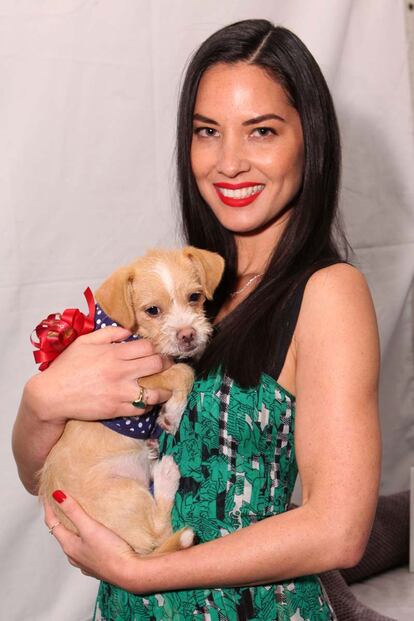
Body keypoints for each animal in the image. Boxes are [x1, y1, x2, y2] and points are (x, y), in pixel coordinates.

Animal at [38, 245, 225, 556]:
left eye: (195, 297)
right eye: (152, 310)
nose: (188, 335)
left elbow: (182, 369)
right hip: (124, 495)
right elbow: (183, 372)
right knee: (160, 531)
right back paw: (166, 476)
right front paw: (173, 415)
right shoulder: (136, 380)